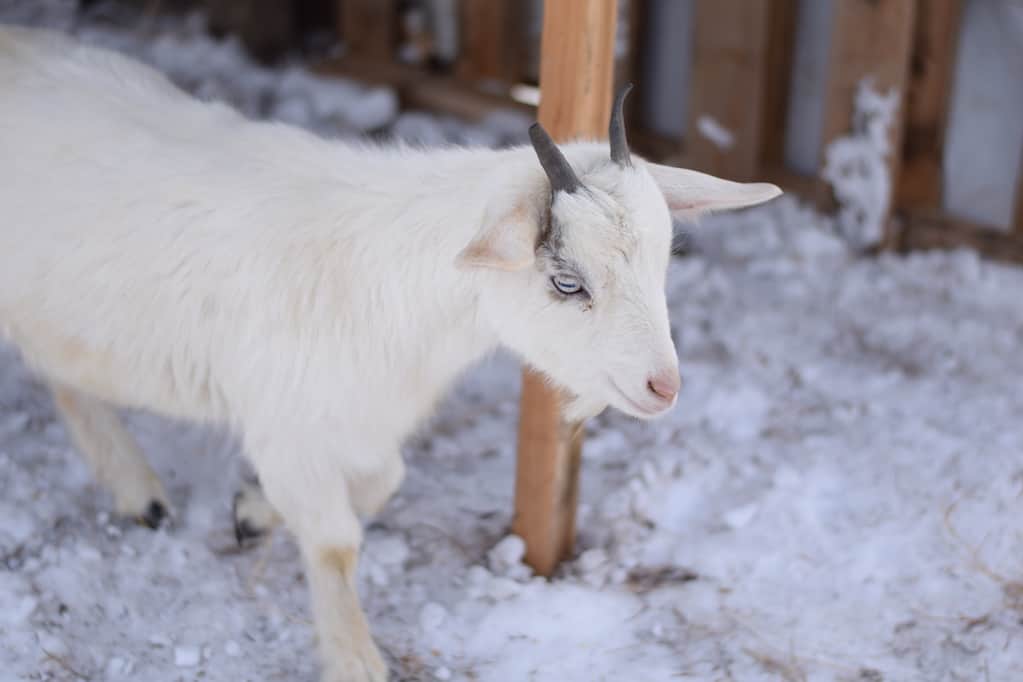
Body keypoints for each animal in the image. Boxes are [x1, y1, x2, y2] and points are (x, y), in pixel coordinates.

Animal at [0, 26, 777, 682]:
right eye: (567, 282)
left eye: (665, 258)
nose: (663, 386)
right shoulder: (285, 424)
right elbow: (336, 541)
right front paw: (355, 659)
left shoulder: (360, 421)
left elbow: (384, 482)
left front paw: (253, 510)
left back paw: (138, 491)